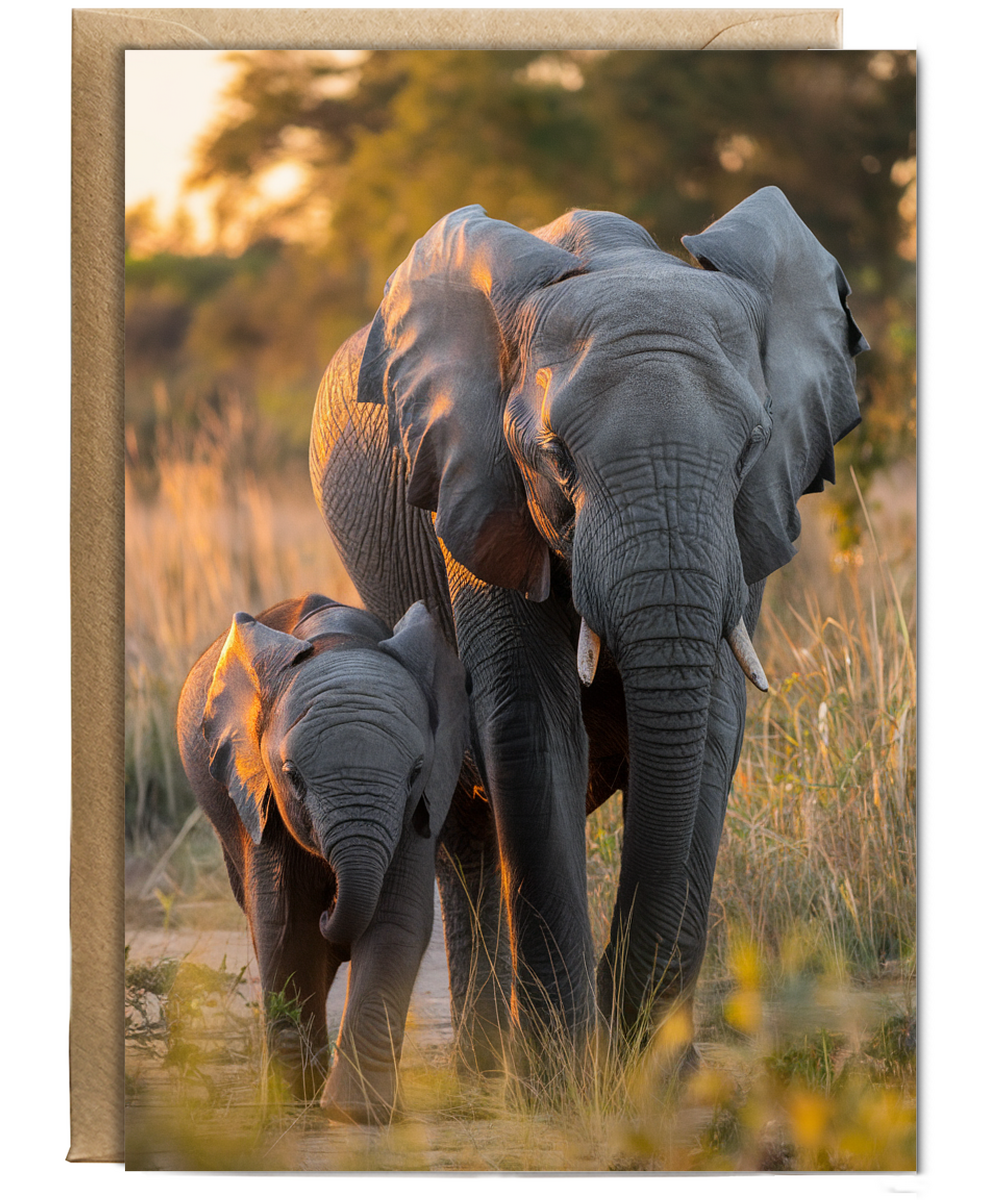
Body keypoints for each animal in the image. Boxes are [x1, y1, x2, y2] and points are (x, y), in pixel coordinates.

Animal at [176, 592, 469, 1121]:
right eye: (292, 775)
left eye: (415, 770)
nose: (331, 905)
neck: (341, 640)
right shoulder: (261, 797)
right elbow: (286, 923)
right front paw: (292, 1103)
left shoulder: (424, 804)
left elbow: (396, 920)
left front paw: (358, 1113)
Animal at [309, 187, 867, 1069]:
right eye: (556, 456)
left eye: (750, 447)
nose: (623, 1026)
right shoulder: (481, 494)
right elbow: (530, 726)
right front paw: (563, 1080)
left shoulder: (748, 528)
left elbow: (712, 726)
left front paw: (657, 1078)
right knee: (465, 826)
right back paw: (486, 1069)